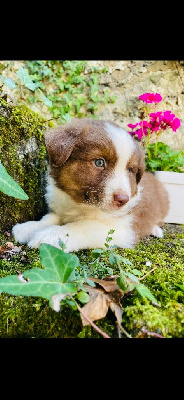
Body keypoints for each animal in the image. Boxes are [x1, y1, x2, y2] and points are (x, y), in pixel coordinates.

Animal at [11, 117, 170, 252]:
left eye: (130, 170)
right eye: (99, 162)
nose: (123, 199)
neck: (80, 204)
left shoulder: (121, 229)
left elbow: (82, 227)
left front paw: (51, 236)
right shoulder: (60, 208)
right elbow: (50, 218)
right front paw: (29, 227)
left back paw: (156, 230)